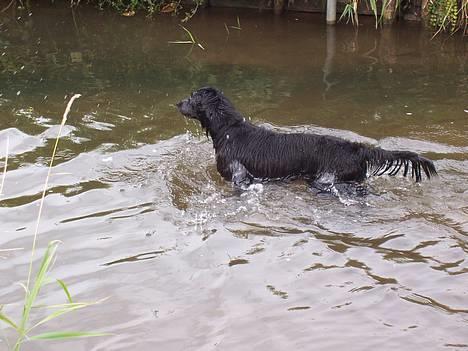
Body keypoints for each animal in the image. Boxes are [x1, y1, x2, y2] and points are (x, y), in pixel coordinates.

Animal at [176, 87, 436, 190]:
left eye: (191, 96)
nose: (177, 103)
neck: (229, 129)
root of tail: (357, 148)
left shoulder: (238, 176)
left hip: (328, 180)